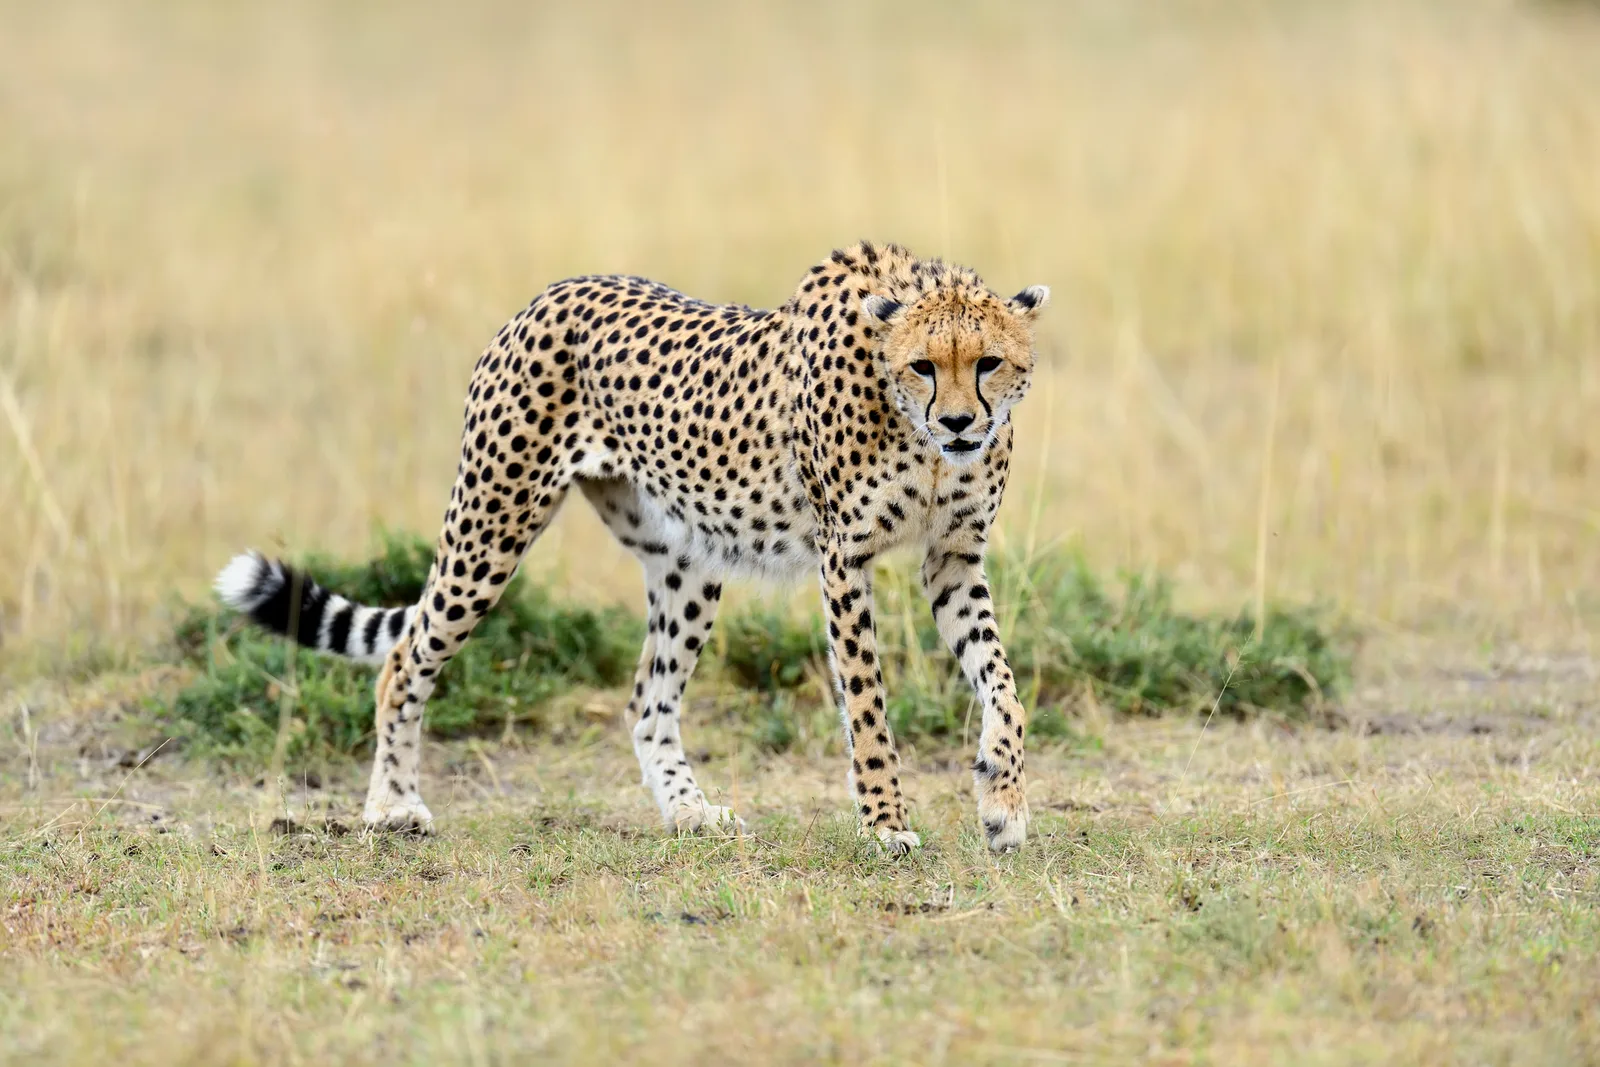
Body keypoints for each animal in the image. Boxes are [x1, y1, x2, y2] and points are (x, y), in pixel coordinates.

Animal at [214, 240, 1050, 854]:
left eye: (988, 362)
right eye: (923, 365)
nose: (960, 424)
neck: (919, 437)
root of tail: (553, 290)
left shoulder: (953, 558)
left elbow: (1003, 681)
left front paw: (1002, 800)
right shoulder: (844, 560)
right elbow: (869, 705)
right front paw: (885, 822)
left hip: (687, 560)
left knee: (647, 695)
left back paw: (689, 812)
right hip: (491, 525)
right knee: (404, 656)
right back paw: (392, 805)